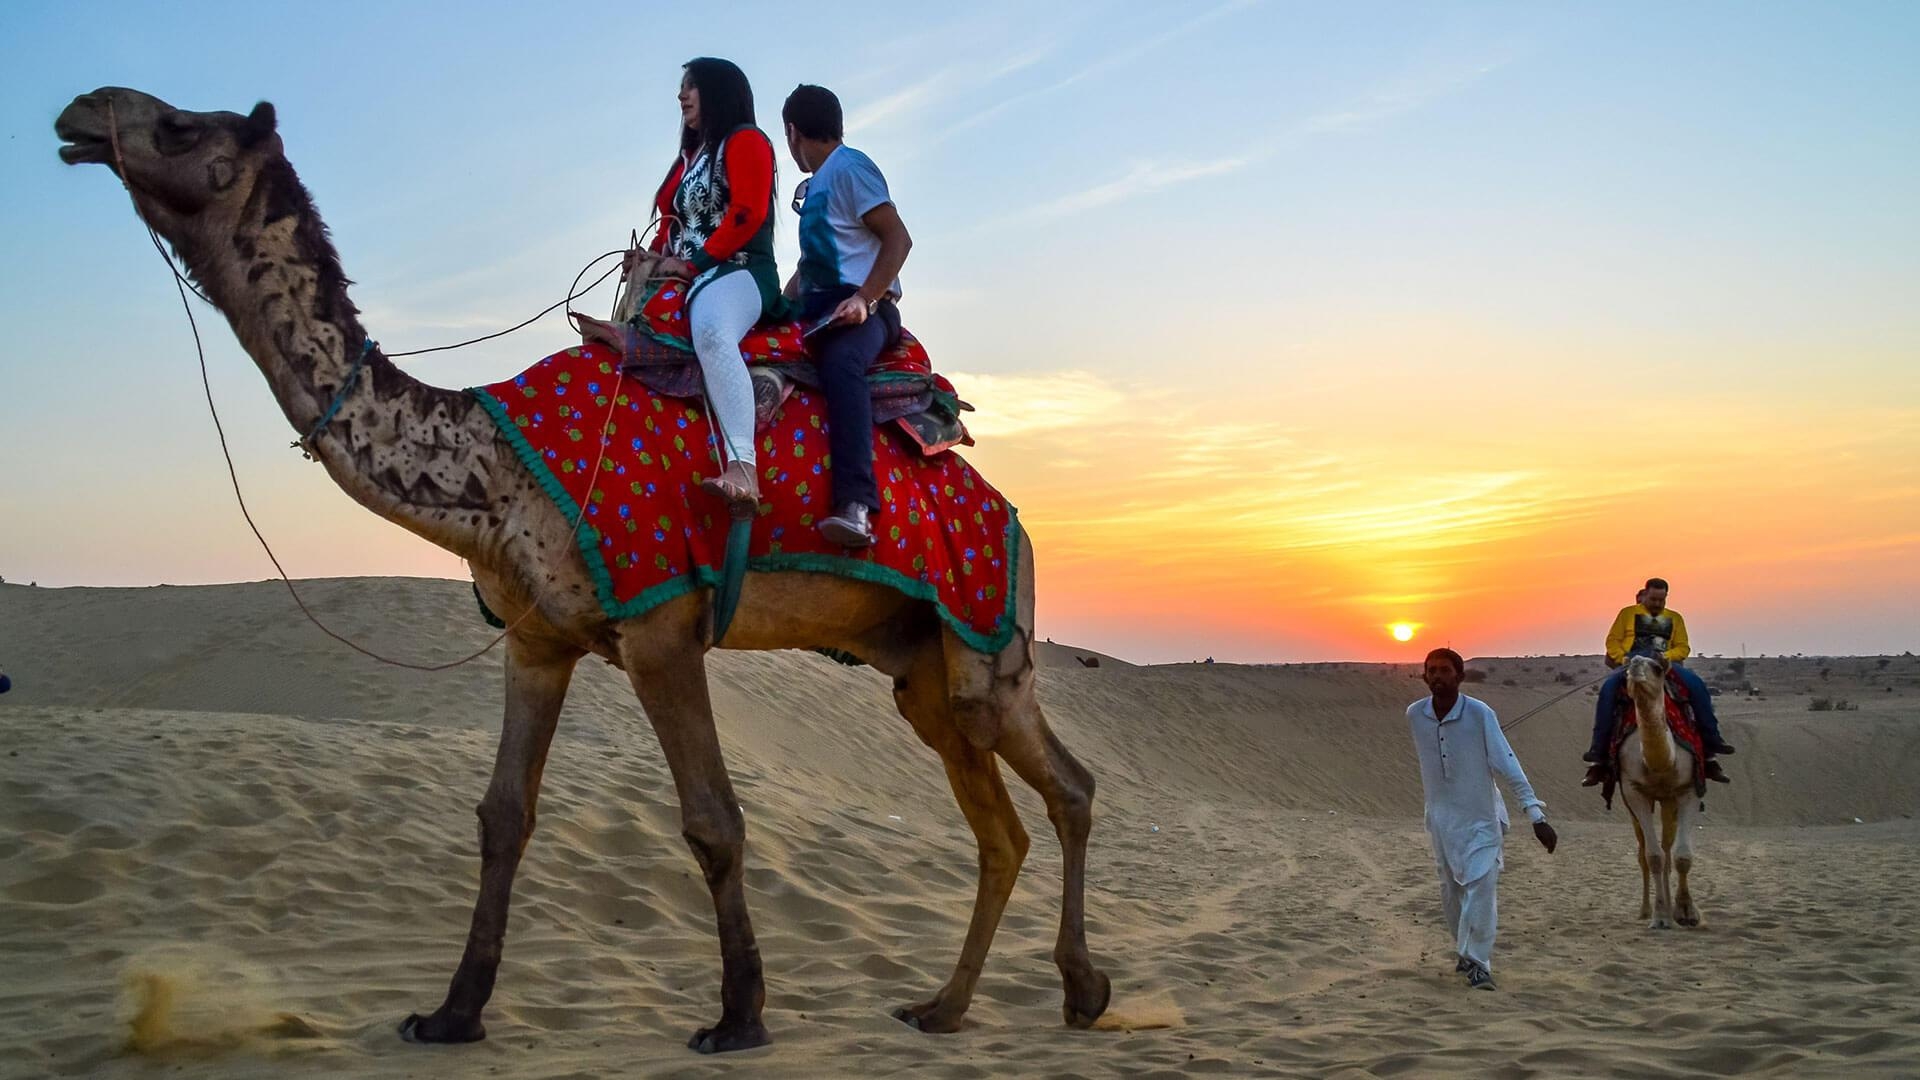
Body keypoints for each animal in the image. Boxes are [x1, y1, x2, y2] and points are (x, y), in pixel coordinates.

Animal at [56, 85, 1113, 1053]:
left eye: (180, 127)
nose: (77, 112)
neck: (493, 467)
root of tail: (1012, 517)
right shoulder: (537, 639)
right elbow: (502, 815)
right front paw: (452, 1013)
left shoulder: (660, 626)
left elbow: (713, 819)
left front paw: (739, 1017)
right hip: (919, 665)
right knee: (1001, 826)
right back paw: (945, 1007)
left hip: (987, 639)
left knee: (1067, 787)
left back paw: (1081, 991)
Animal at [1612, 645, 1704, 926]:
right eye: (1627, 667)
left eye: (1656, 667)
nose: (1633, 669)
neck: (1661, 763)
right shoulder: (1634, 792)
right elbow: (1652, 857)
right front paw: (1660, 916)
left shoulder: (1689, 790)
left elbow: (1682, 856)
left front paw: (1686, 912)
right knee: (1645, 853)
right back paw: (1645, 910)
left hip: (1669, 802)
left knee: (1668, 848)